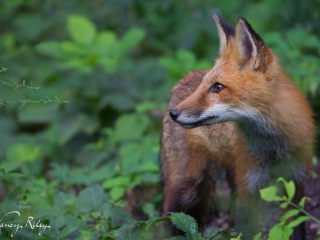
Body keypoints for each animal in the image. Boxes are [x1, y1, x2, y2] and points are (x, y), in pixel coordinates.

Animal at [161, 15, 314, 240]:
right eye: (204, 85)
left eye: (217, 87)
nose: (174, 114)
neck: (274, 149)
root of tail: (183, 78)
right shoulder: (248, 188)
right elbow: (248, 231)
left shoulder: (296, 184)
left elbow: (295, 229)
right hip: (187, 186)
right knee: (161, 221)